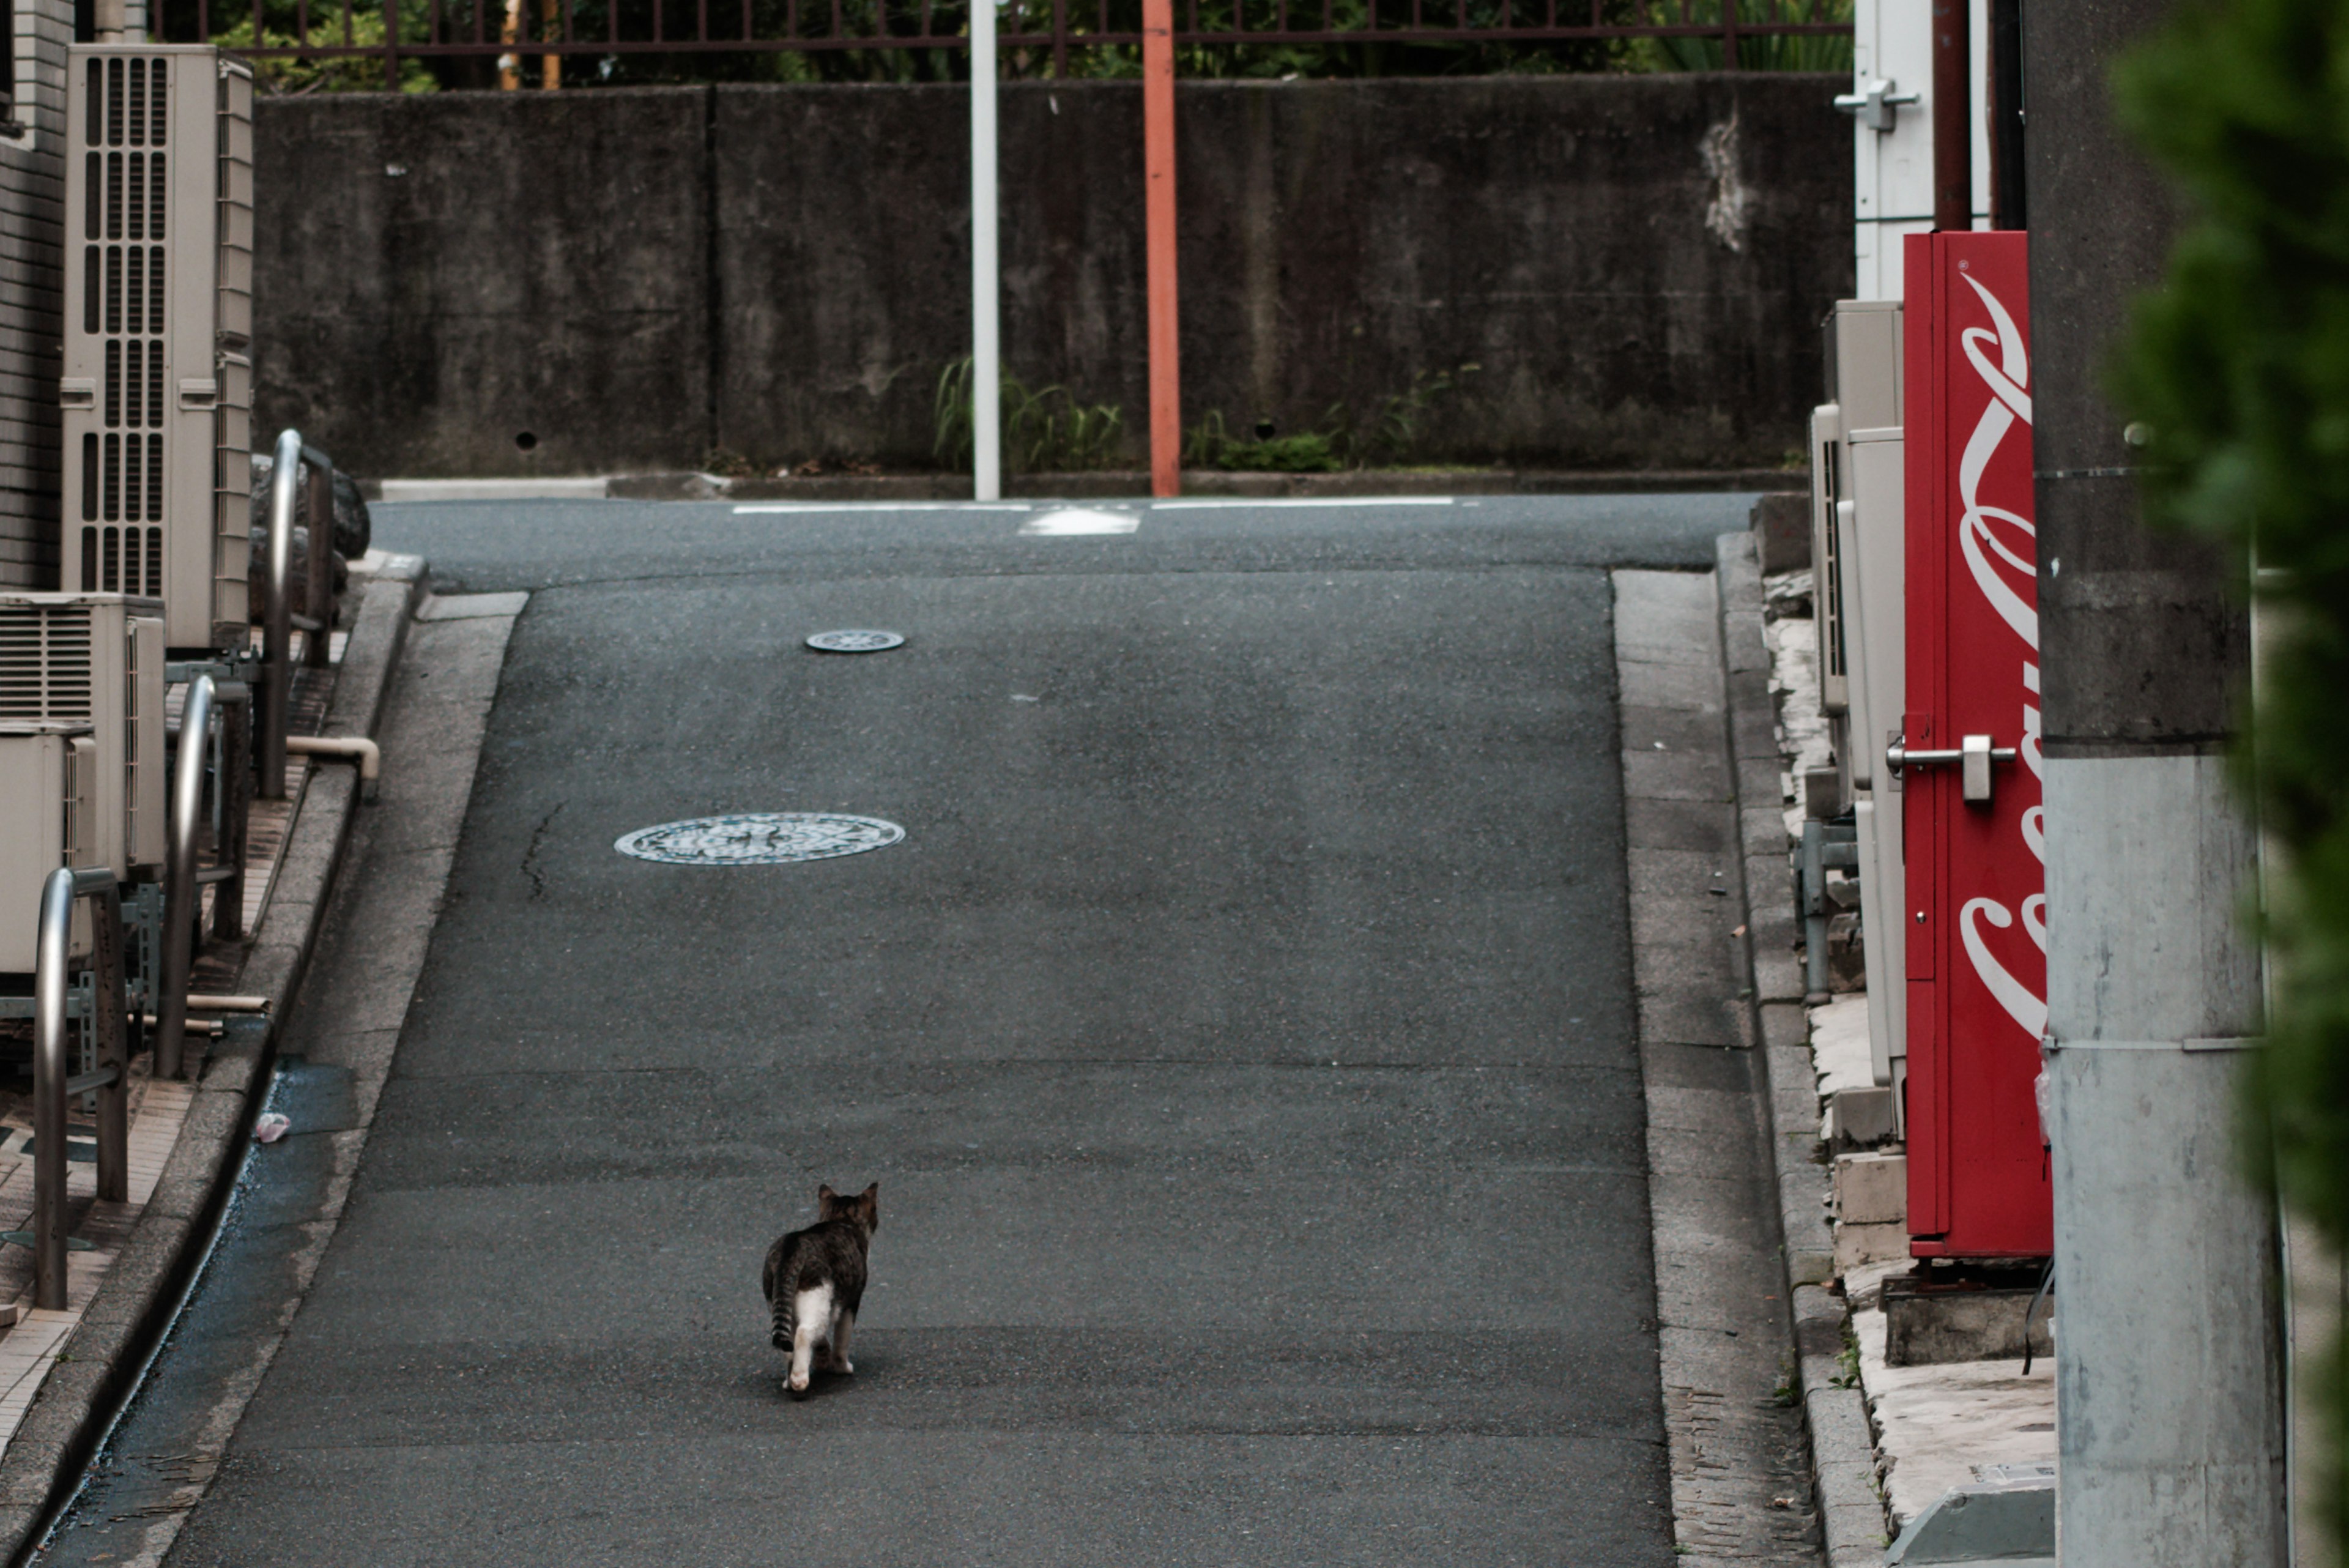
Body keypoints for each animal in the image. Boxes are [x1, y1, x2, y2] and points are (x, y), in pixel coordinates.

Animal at [765, 1175, 878, 1401]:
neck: (840, 1218)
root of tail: (792, 1246)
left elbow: (822, 1343)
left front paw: (822, 1360)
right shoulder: (850, 1303)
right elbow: (842, 1338)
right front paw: (841, 1367)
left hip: (780, 1302)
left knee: (789, 1342)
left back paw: (789, 1381)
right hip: (818, 1299)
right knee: (803, 1334)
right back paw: (799, 1381)